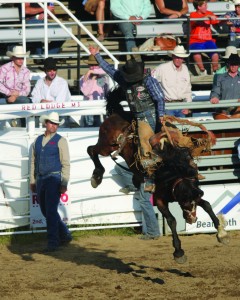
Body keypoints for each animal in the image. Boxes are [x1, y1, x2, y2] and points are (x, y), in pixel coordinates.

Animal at [87, 86, 230, 262]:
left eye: (192, 203)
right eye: (185, 203)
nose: (192, 219)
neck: (173, 171)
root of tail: (117, 113)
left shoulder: (195, 191)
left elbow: (208, 205)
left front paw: (222, 233)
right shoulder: (160, 199)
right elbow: (171, 220)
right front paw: (178, 252)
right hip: (106, 146)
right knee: (91, 150)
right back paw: (97, 176)